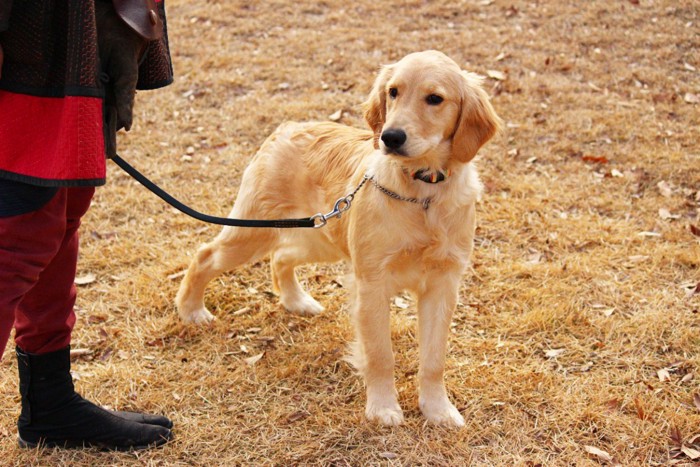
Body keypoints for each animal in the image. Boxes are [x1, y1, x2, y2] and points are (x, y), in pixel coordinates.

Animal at [178, 51, 500, 428]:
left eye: (435, 98)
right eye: (393, 92)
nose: (390, 137)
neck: (423, 194)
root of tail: (286, 127)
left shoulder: (443, 284)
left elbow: (434, 359)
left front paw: (438, 409)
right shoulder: (371, 283)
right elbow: (380, 354)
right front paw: (383, 408)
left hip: (319, 235)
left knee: (281, 257)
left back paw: (297, 301)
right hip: (253, 230)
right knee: (205, 254)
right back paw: (191, 309)